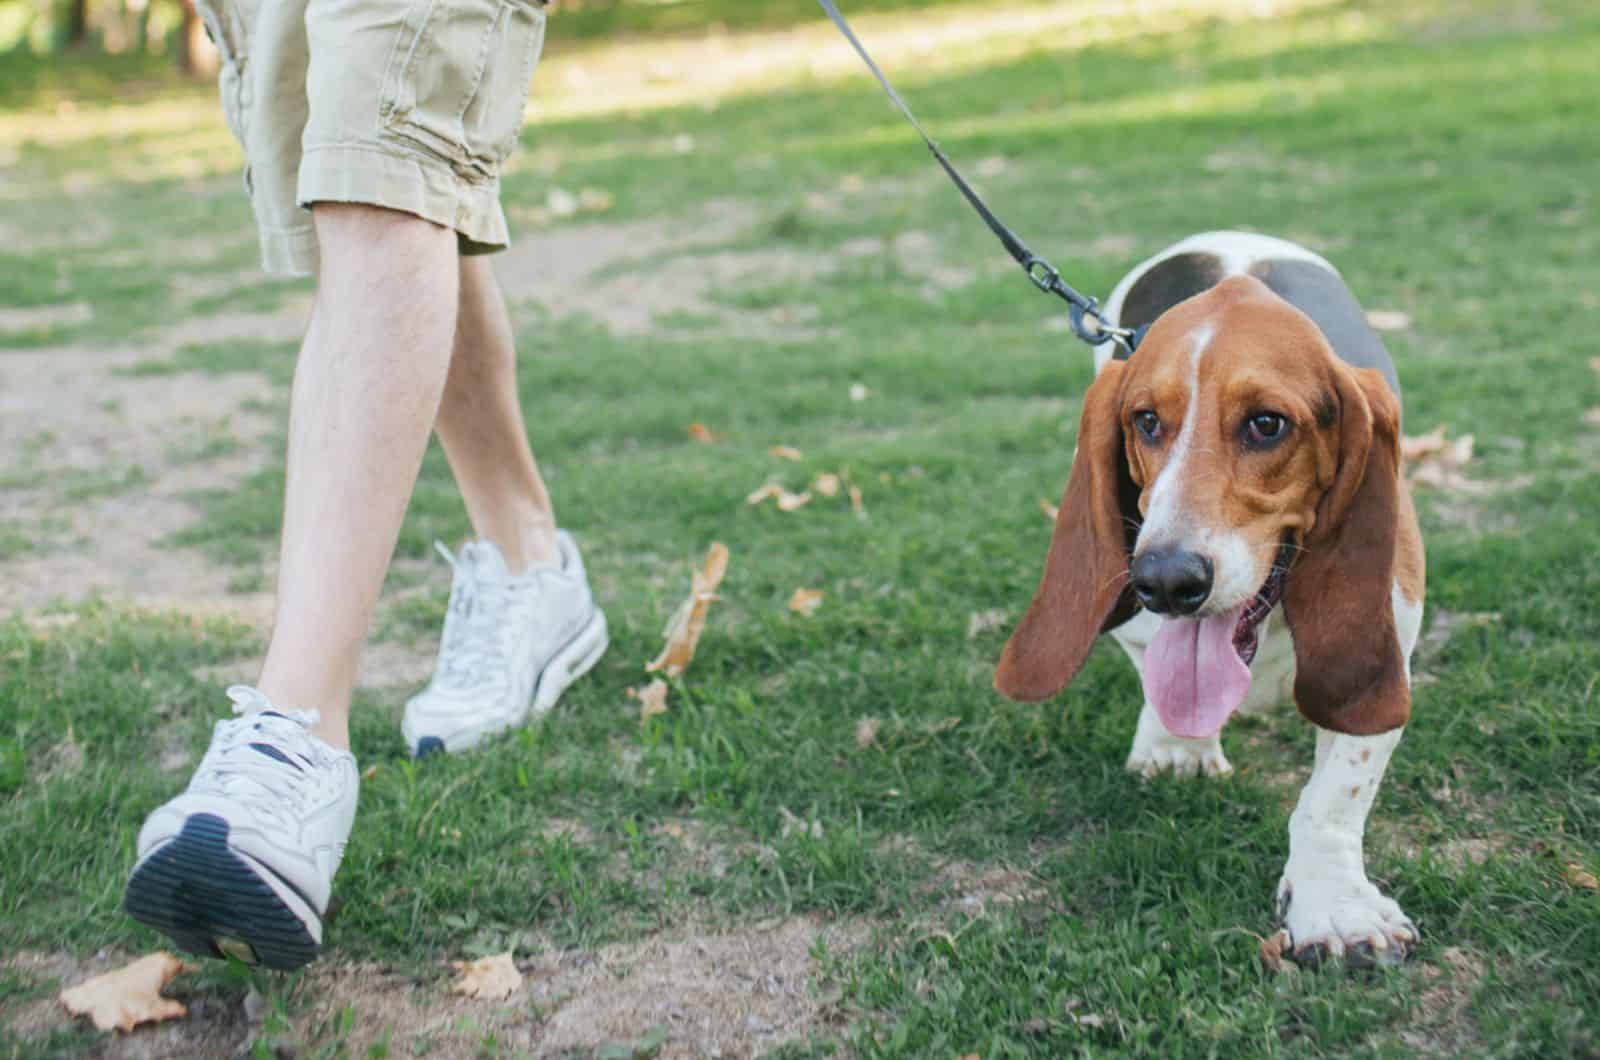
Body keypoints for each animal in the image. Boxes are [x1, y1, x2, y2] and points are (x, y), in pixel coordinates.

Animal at [998, 232, 1427, 973]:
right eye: (1145, 421)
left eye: (1267, 424)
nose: (1166, 581)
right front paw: (1179, 749)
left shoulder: (1388, 644)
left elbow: (1336, 792)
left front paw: (1335, 906)